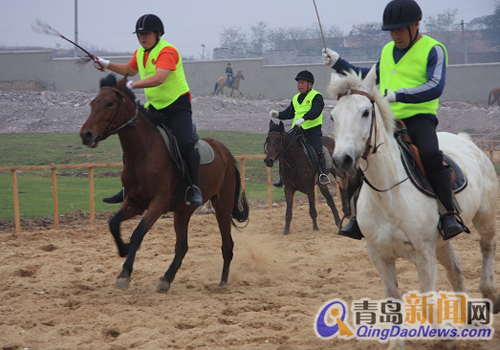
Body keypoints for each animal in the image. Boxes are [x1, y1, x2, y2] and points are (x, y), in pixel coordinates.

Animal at [79, 75, 249, 294]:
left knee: (227, 245)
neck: (143, 152)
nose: (86, 134)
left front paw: (125, 273)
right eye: (92, 103)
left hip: (222, 206)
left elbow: (138, 233)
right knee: (182, 246)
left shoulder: (158, 204)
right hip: (183, 211)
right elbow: (113, 223)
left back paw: (223, 281)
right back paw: (166, 279)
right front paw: (124, 248)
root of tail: (225, 151)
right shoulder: (135, 202)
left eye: (110, 103)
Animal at [328, 67, 500, 348]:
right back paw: (467, 317)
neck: (388, 194)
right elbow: (393, 302)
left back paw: (491, 295)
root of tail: (466, 140)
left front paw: (444, 337)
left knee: (487, 246)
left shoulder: (423, 254)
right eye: (333, 116)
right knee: (456, 272)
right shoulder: (379, 255)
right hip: (442, 241)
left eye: (365, 112)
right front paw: (396, 343)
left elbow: (428, 302)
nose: (342, 161)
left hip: (484, 217)